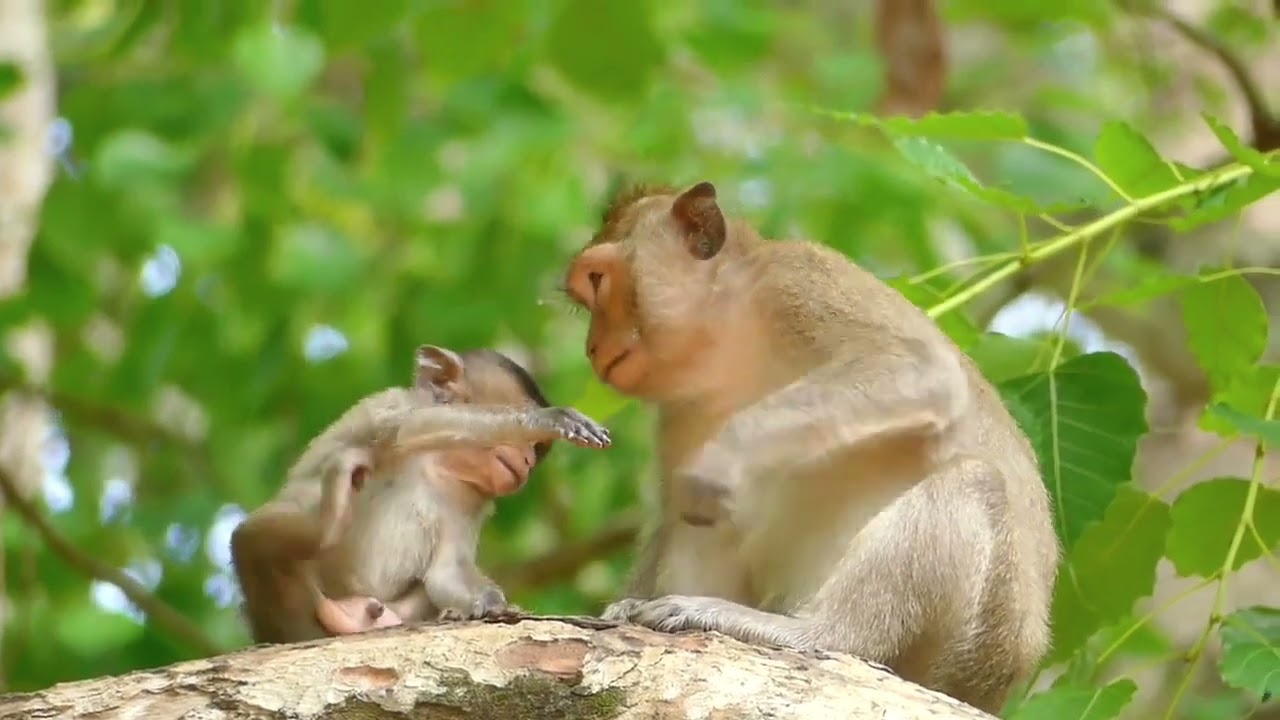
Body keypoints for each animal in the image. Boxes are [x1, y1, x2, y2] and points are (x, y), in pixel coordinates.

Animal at [229, 344, 612, 644]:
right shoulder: (395, 408)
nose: (530, 460)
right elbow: (414, 426)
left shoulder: (470, 497)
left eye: (538, 449)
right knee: (253, 539)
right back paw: (327, 522)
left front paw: (487, 604)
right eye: (531, 441)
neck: (439, 464)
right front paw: (550, 417)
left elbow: (444, 572)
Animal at [559, 181, 1060, 714]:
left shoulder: (801, 281)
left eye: (597, 280)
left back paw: (813, 633)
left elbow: (921, 370)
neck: (731, 339)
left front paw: (727, 454)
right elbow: (676, 513)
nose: (591, 347)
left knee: (973, 483)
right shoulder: (679, 413)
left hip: (971, 646)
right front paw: (628, 604)